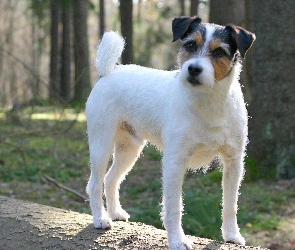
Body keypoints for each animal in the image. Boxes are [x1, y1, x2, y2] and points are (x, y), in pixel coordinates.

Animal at [86, 16, 256, 249]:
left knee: (111, 179)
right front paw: (177, 240)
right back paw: (101, 219)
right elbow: (174, 206)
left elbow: (230, 204)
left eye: (219, 51)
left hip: (129, 149)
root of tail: (109, 72)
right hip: (101, 144)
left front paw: (232, 235)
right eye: (190, 45)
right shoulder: (175, 162)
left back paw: (115, 213)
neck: (208, 102)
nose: (193, 69)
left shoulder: (234, 161)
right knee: (94, 184)